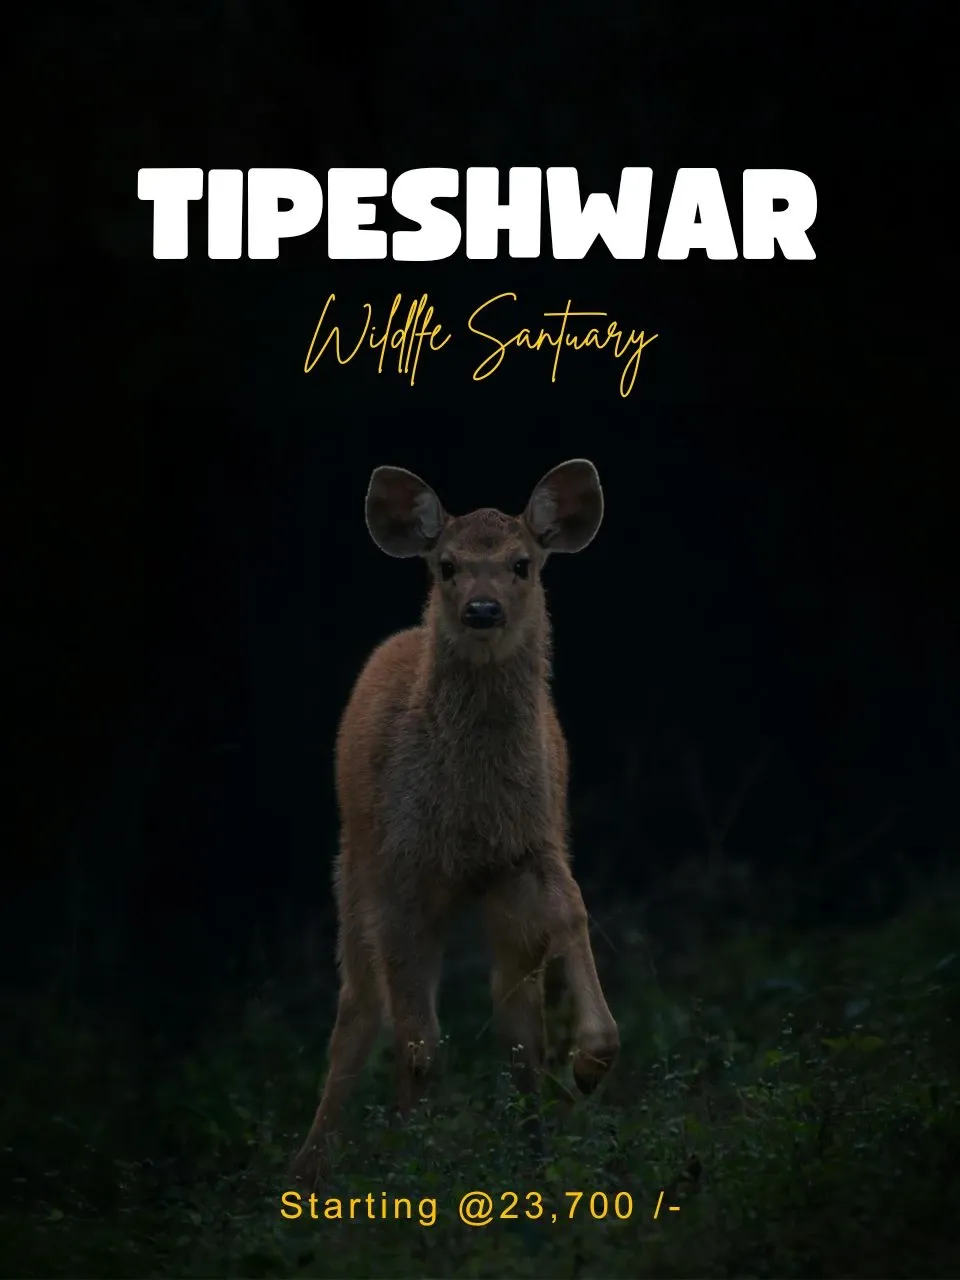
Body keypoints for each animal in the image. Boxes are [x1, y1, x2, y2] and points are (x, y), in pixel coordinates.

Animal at [290, 459, 620, 1183]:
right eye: (446, 565)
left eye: (523, 563)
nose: (482, 609)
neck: (471, 813)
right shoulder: (399, 871)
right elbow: (417, 1044)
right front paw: (410, 1167)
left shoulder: (533, 844)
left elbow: (574, 914)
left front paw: (593, 1059)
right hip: (354, 864)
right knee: (359, 1011)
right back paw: (311, 1169)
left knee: (516, 1020)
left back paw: (535, 1157)